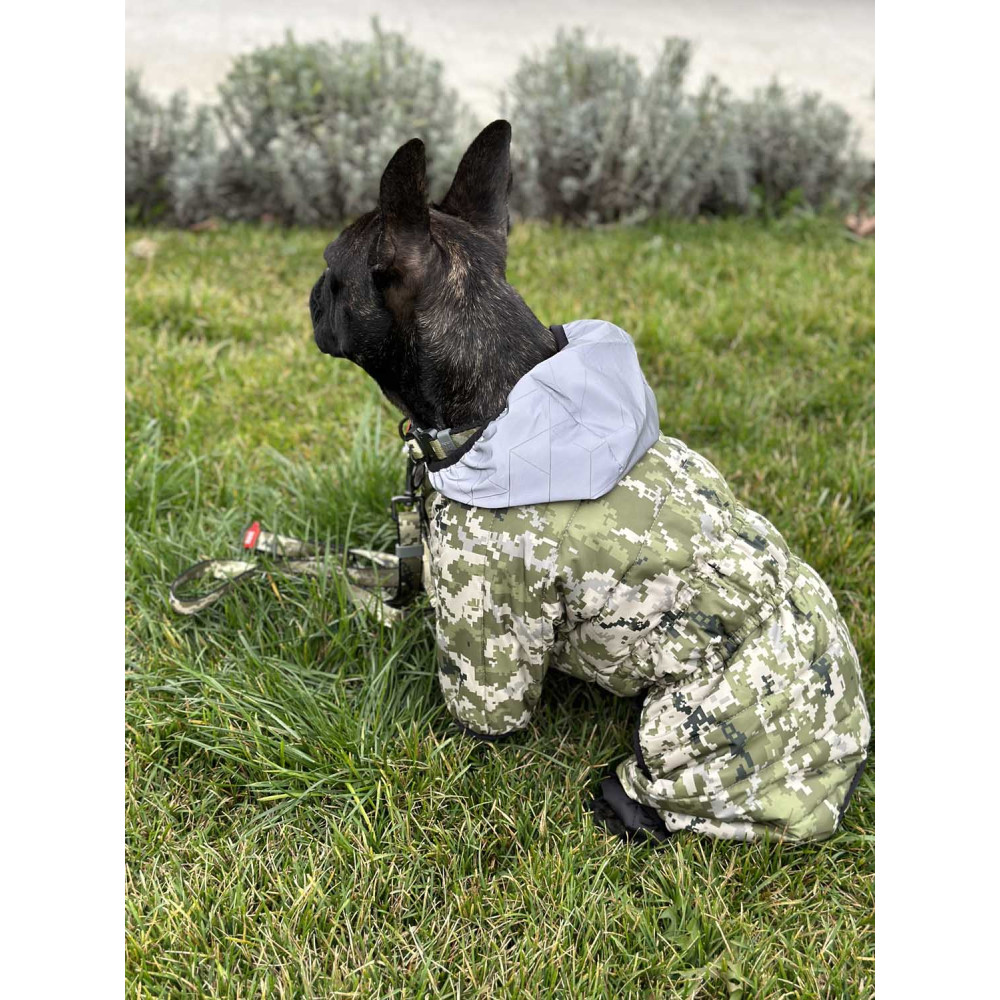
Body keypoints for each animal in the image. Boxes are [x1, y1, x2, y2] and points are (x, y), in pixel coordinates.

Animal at [310, 122, 870, 843]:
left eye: (334, 270)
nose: (312, 292)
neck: (503, 402)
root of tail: (851, 767)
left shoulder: (489, 618)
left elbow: (486, 707)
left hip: (687, 731)